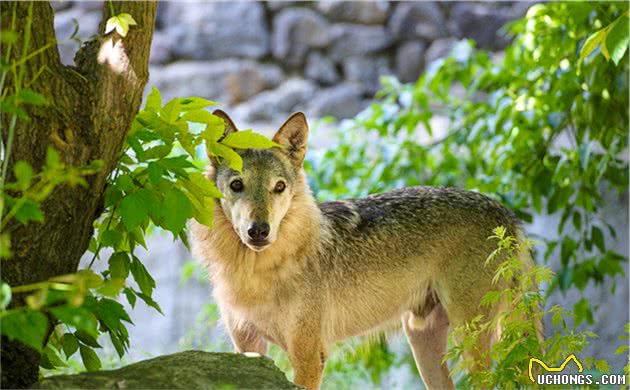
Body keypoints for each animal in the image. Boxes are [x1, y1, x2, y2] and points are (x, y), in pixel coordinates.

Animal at [191, 110, 540, 390]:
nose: (259, 231)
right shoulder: (247, 350)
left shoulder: (309, 356)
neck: (256, 272)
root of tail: (504, 213)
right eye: (237, 185)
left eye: (279, 187)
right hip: (422, 342)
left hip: (471, 343)